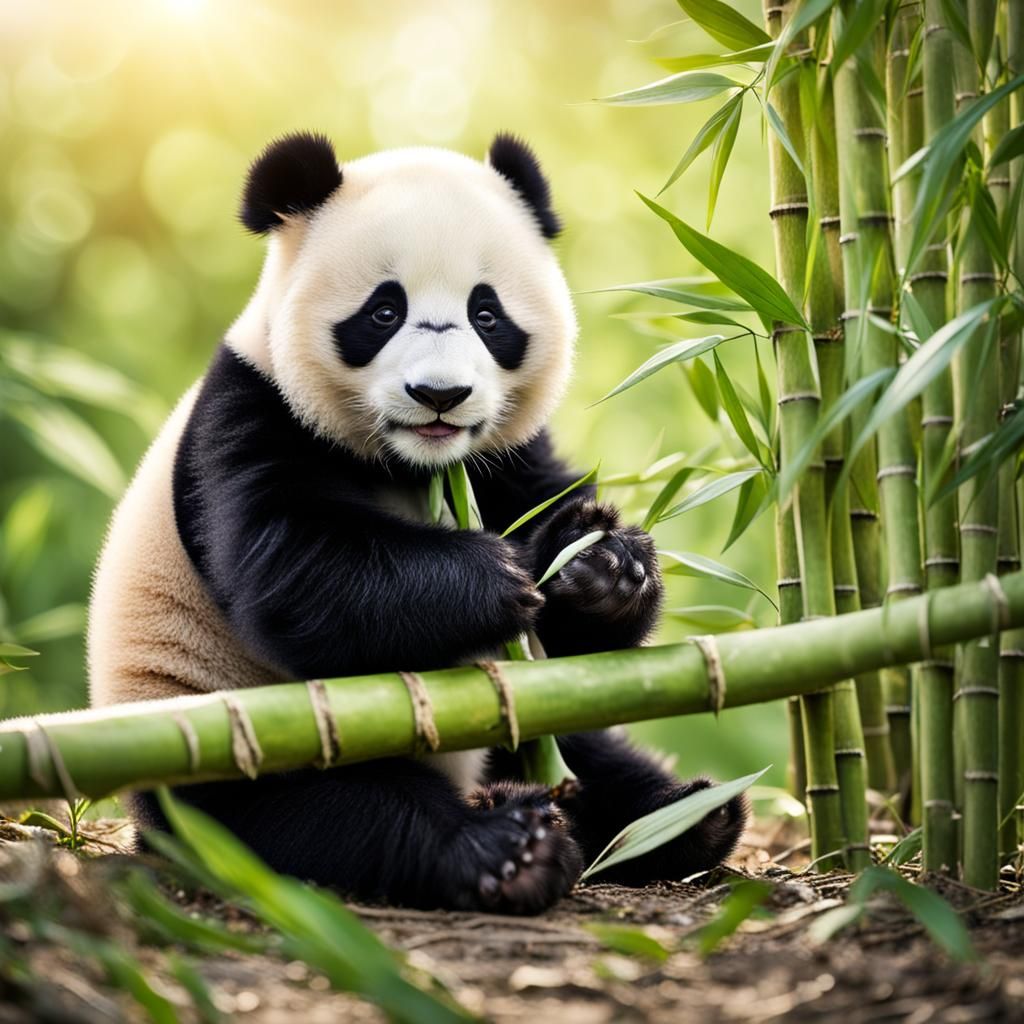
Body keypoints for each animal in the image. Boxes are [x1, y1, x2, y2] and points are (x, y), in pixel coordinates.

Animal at [88, 131, 746, 915]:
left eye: (488, 315)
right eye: (383, 312)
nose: (441, 395)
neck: (413, 464)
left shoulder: (501, 455)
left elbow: (562, 595)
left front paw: (604, 566)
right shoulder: (253, 411)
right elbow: (297, 573)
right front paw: (493, 578)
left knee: (588, 749)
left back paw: (685, 817)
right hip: (238, 750)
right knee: (345, 816)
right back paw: (509, 849)